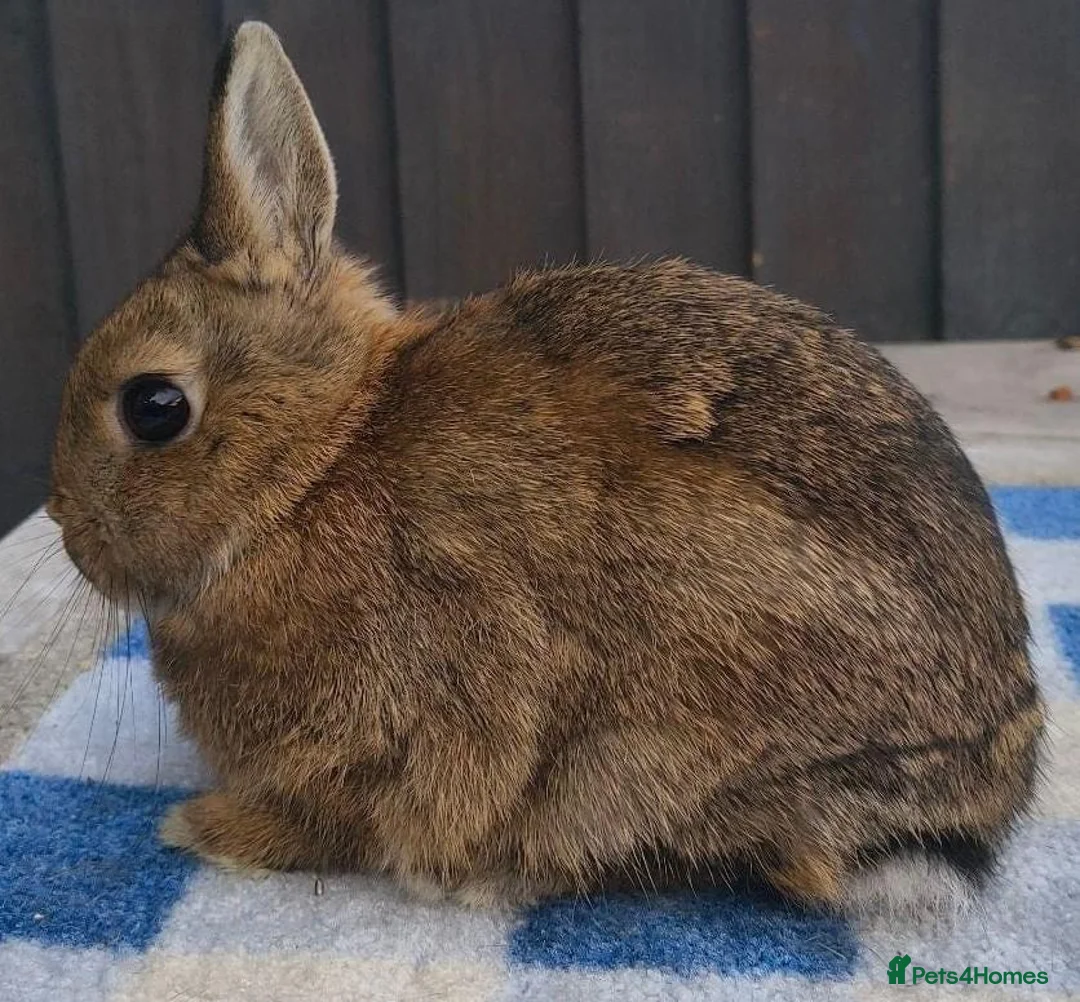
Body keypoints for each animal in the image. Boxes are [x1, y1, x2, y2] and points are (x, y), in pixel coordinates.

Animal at [47, 22, 1043, 911]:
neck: (314, 465)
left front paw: (205, 828)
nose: (66, 531)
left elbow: (346, 822)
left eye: (154, 407)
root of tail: (986, 780)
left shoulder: (405, 726)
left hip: (655, 737)